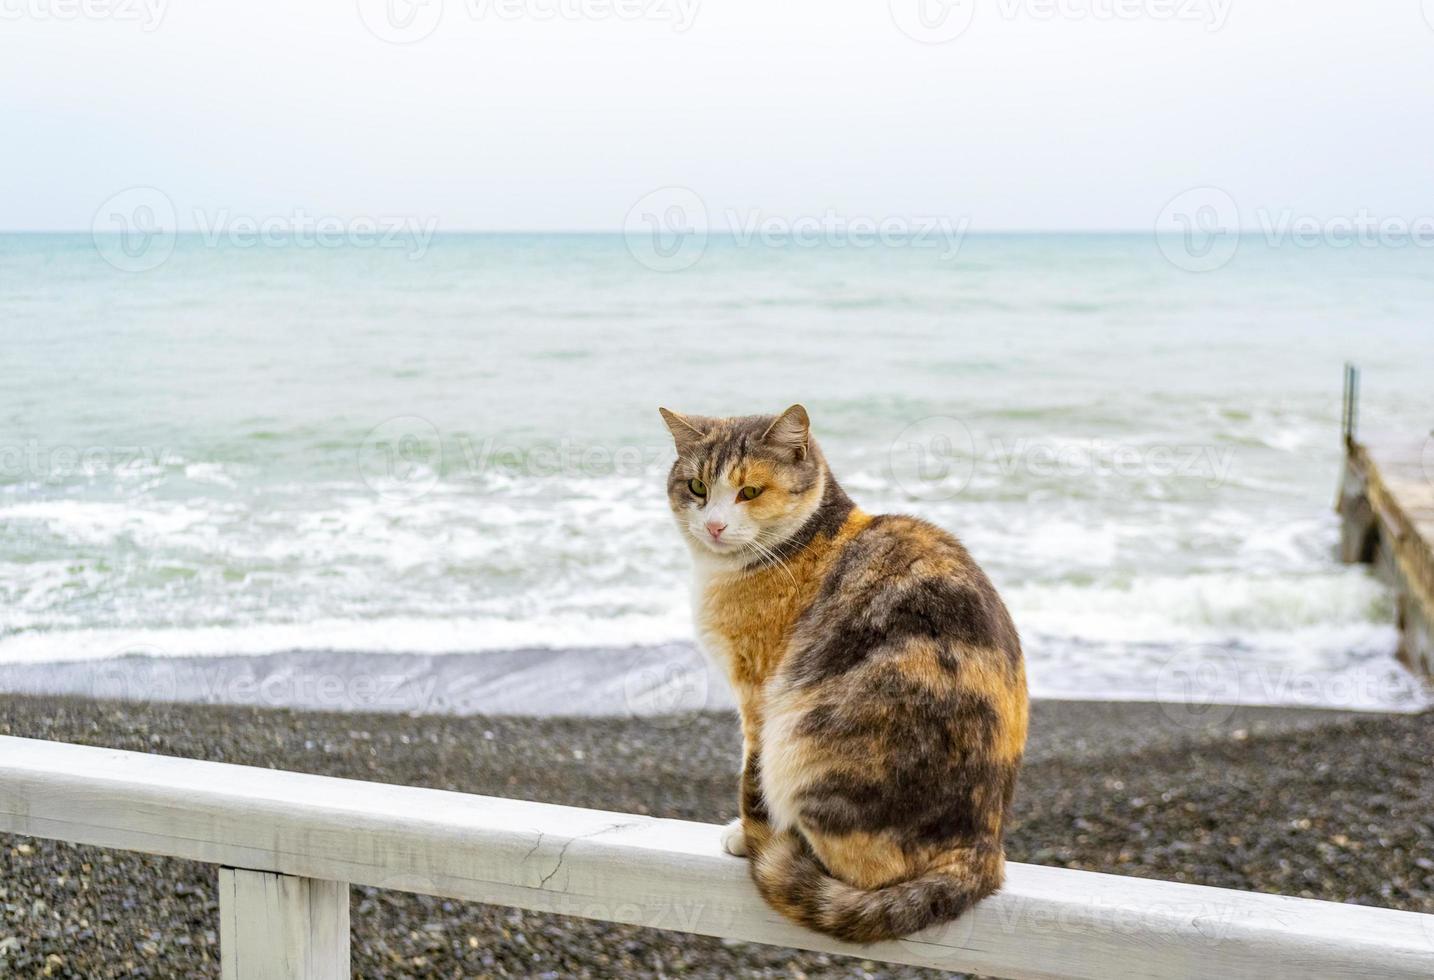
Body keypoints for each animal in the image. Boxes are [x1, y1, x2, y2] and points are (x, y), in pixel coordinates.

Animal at [656, 401, 1026, 941]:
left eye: (750, 492)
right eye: (698, 487)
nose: (715, 526)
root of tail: (982, 851)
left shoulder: (759, 691)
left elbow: (751, 773)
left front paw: (745, 834)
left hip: (803, 738)